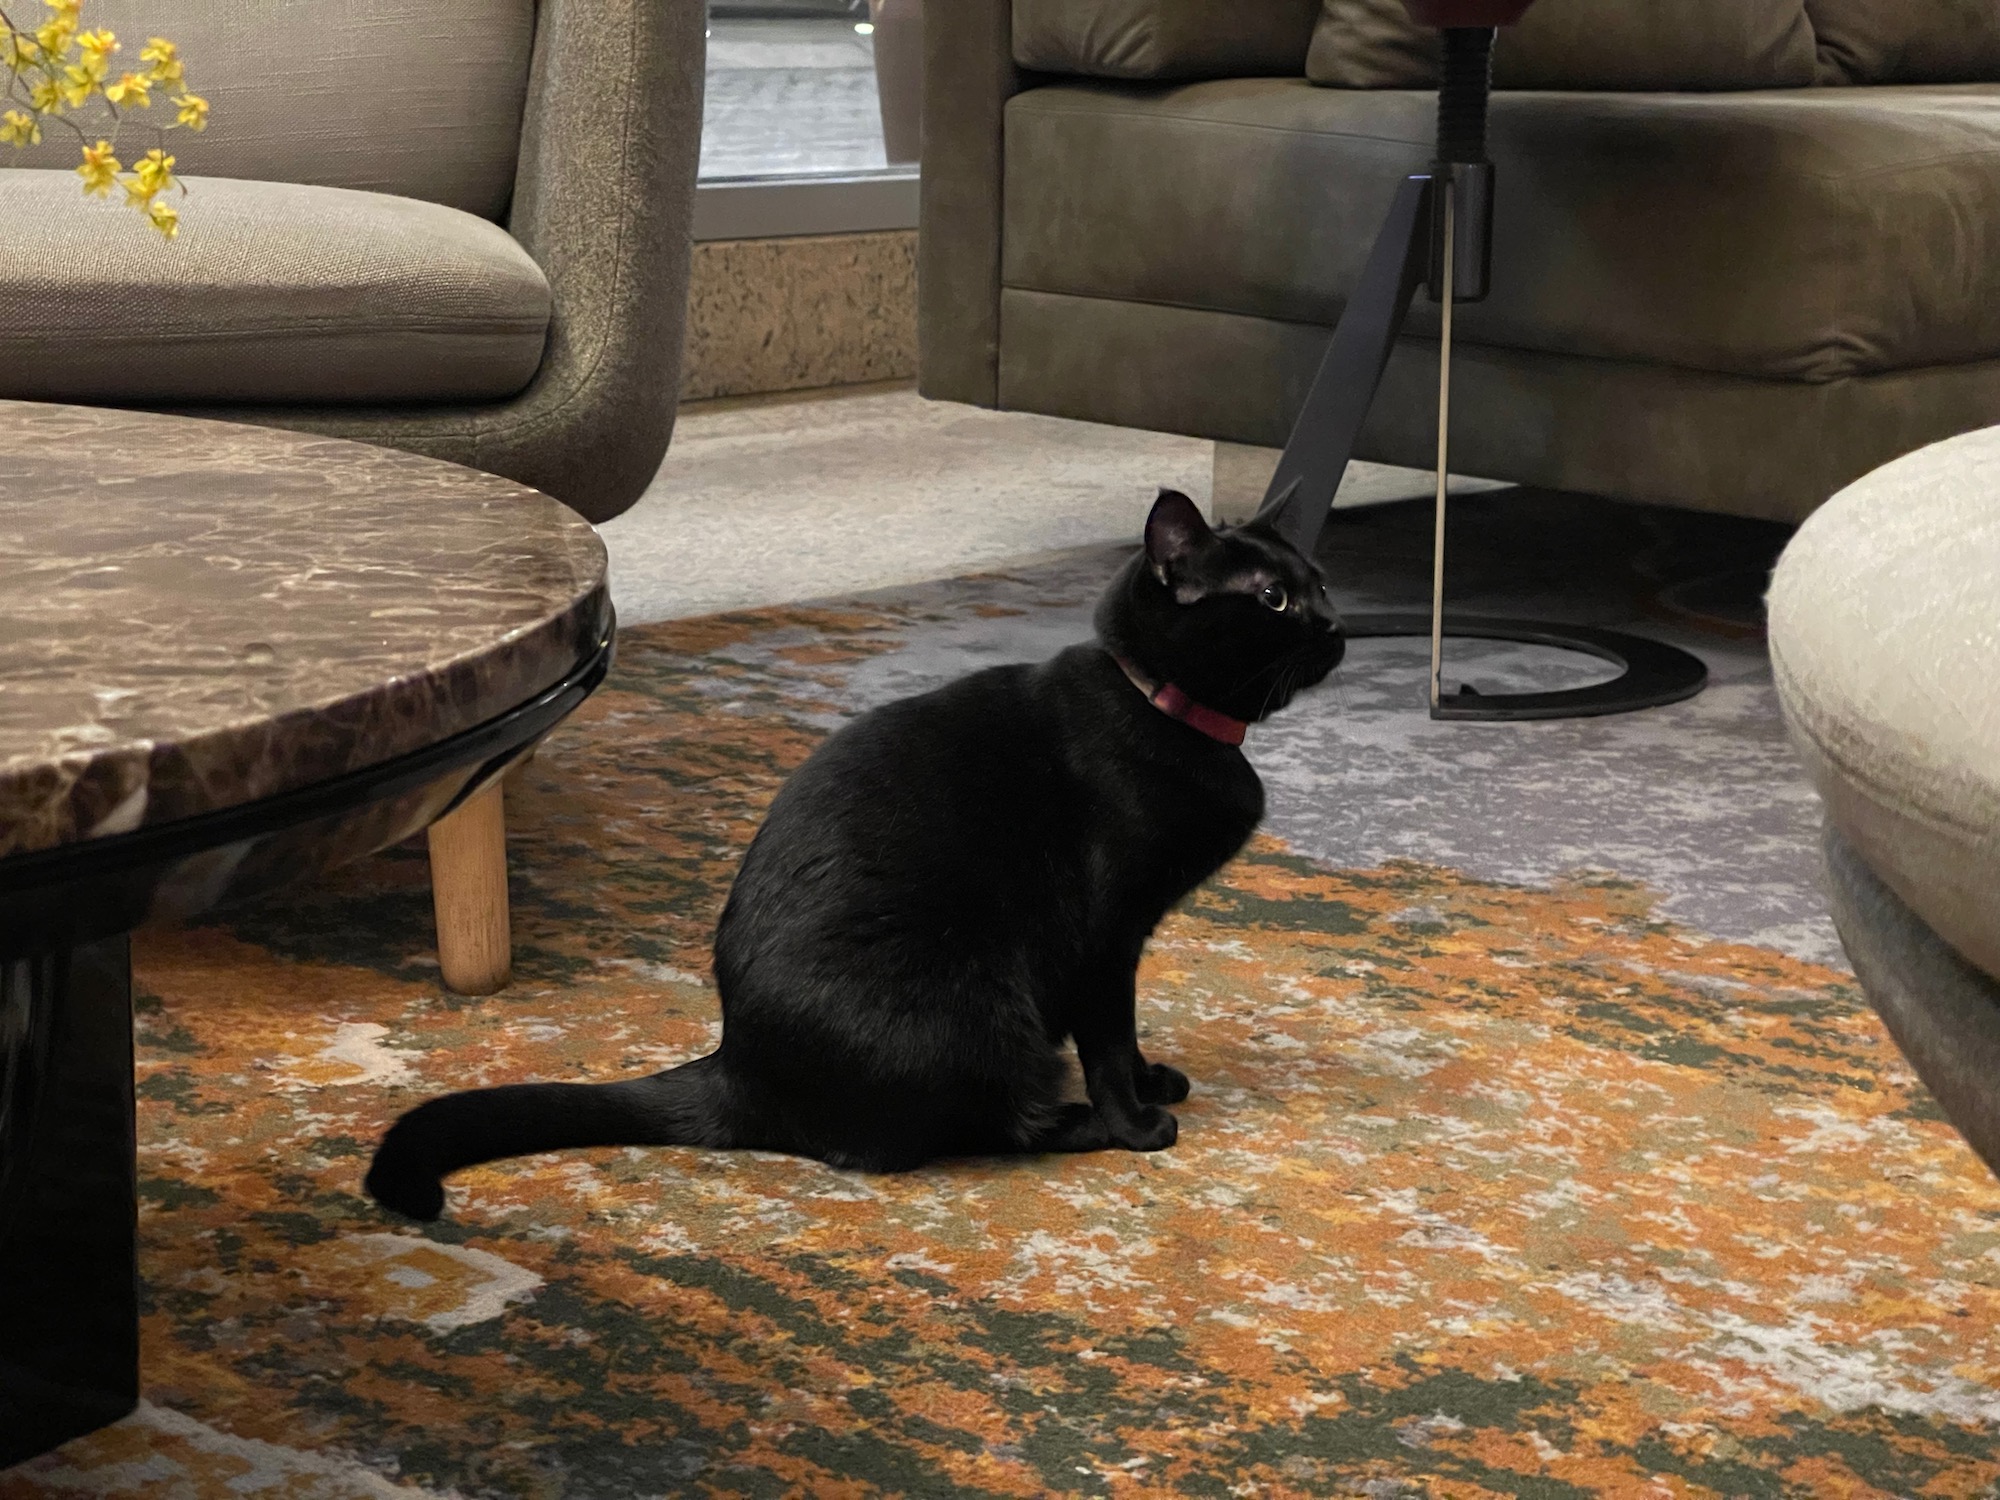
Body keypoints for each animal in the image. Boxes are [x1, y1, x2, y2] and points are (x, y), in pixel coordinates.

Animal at [372, 494, 1344, 1224]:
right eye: (1273, 600)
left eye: (1320, 582)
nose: (1340, 625)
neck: (1166, 709)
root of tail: (738, 1065)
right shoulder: (1106, 936)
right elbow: (1108, 1036)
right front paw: (1136, 1117)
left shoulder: (1126, 943)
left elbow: (1125, 1032)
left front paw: (1152, 1081)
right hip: (982, 1005)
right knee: (971, 1131)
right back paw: (1083, 1124)